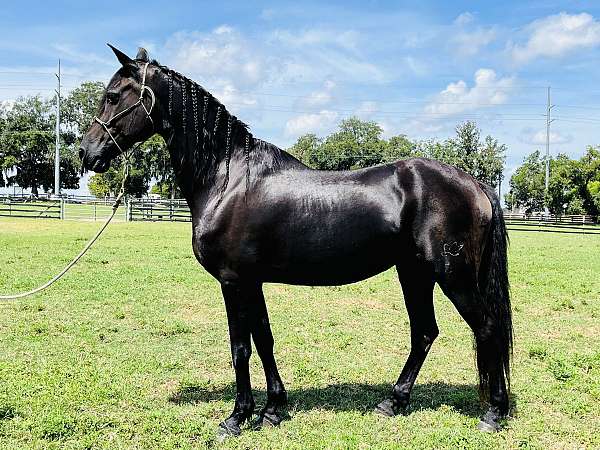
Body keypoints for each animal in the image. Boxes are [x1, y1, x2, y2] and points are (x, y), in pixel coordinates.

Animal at [78, 45, 510, 436]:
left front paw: (237, 418)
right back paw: (393, 402)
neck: (227, 179)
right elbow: (264, 340)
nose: (86, 153)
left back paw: (493, 414)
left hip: (451, 275)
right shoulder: (252, 282)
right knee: (424, 332)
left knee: (487, 327)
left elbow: (240, 348)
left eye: (113, 96)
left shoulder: (234, 281)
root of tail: (476, 184)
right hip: (414, 273)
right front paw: (272, 409)